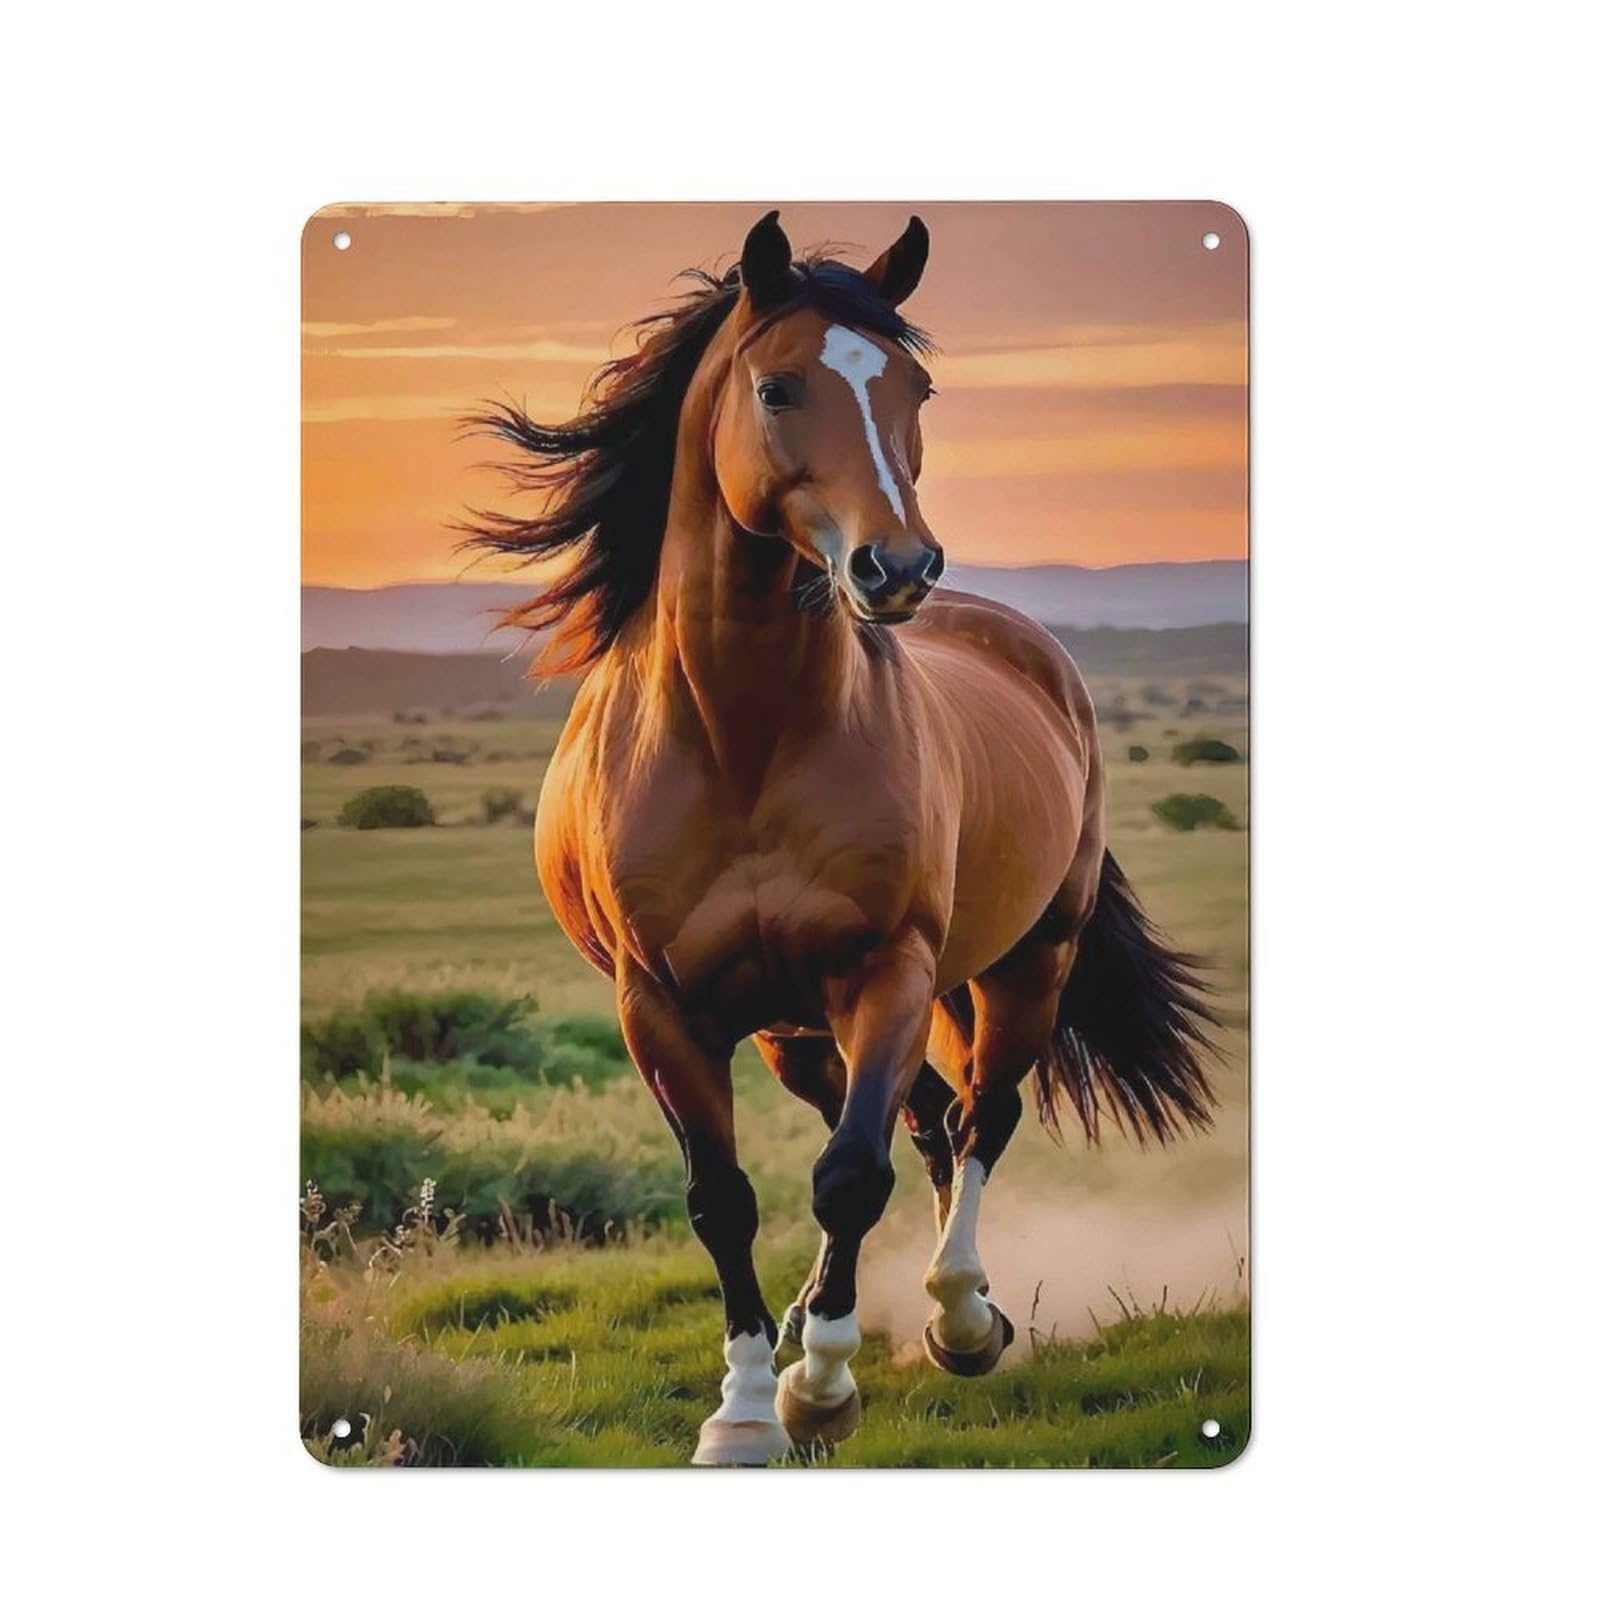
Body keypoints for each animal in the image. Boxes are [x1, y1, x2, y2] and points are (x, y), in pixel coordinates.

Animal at [463, 210, 1216, 1465]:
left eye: (917, 386)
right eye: (777, 387)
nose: (896, 567)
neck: (743, 734)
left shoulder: (889, 969)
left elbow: (849, 1176)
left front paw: (820, 1385)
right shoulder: (660, 1006)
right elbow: (725, 1197)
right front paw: (745, 1409)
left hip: (1021, 964)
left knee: (976, 1118)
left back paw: (962, 1317)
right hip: (796, 1030)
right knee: (930, 1123)